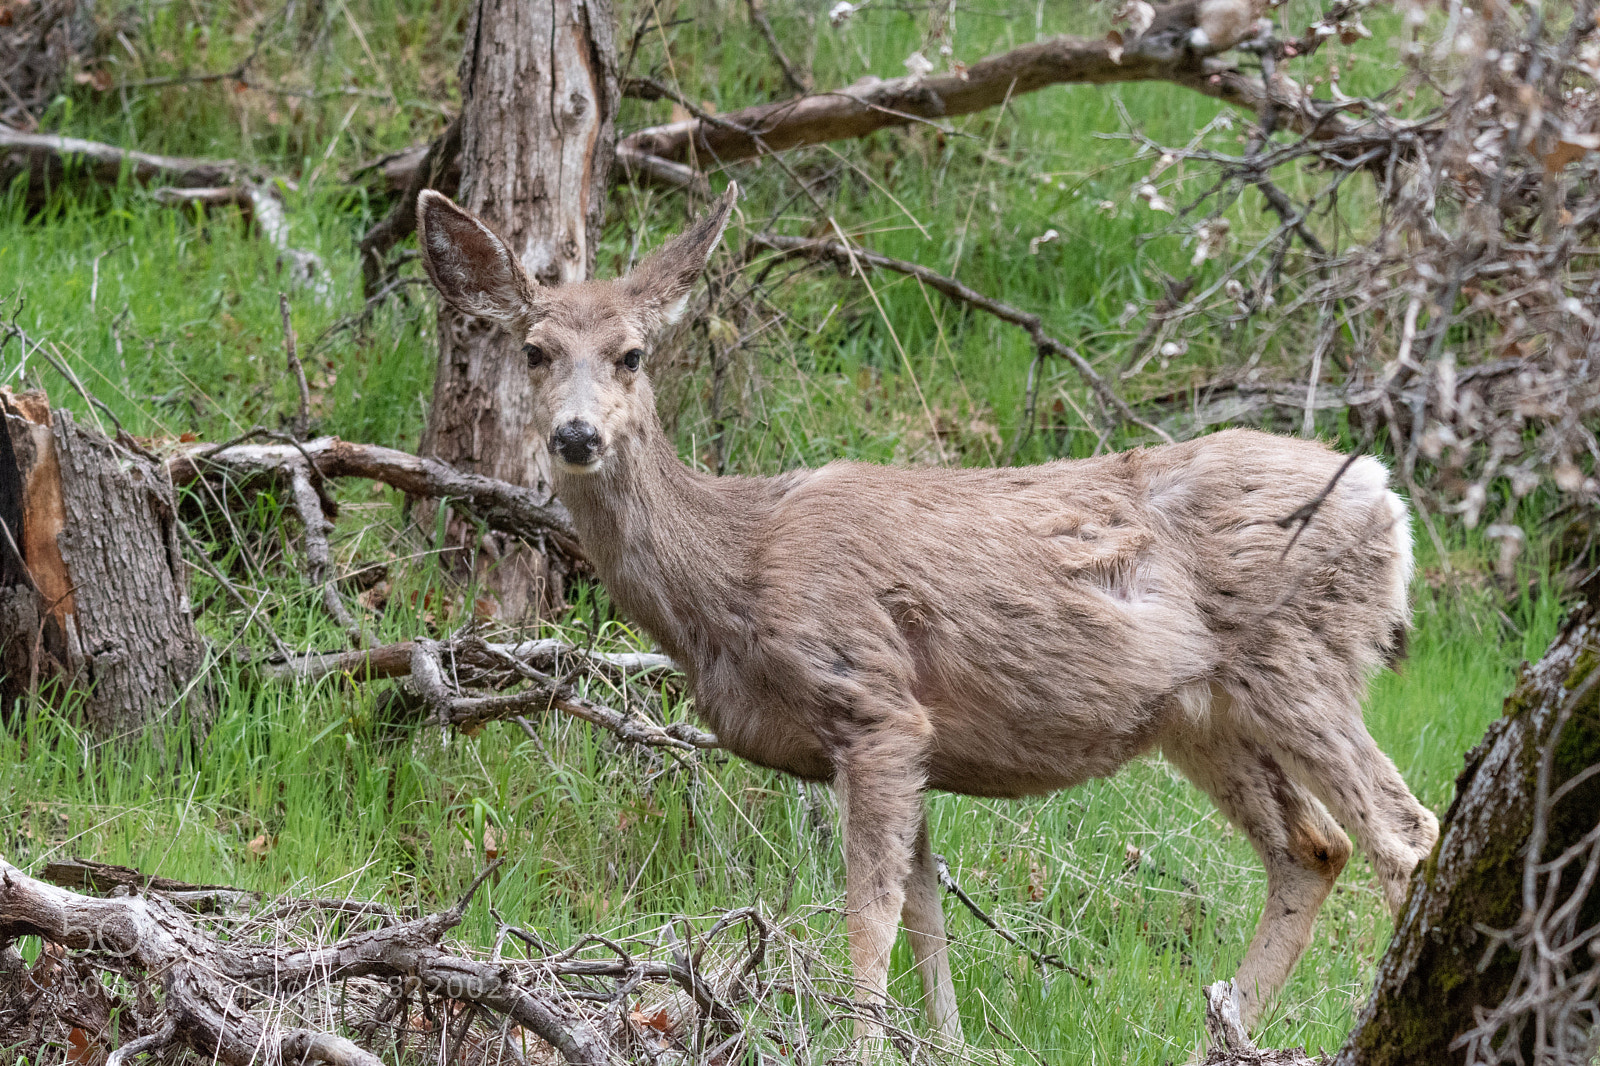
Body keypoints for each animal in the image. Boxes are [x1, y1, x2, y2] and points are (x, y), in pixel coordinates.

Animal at [414, 182, 1440, 1049]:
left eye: (632, 354)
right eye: (536, 351)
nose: (576, 435)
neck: (732, 568)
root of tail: (1391, 504)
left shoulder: (874, 704)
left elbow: (868, 917)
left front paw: (863, 1040)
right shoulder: (913, 745)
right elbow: (927, 916)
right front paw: (944, 1044)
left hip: (1298, 661)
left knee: (1406, 836)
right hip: (1204, 715)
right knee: (1313, 848)